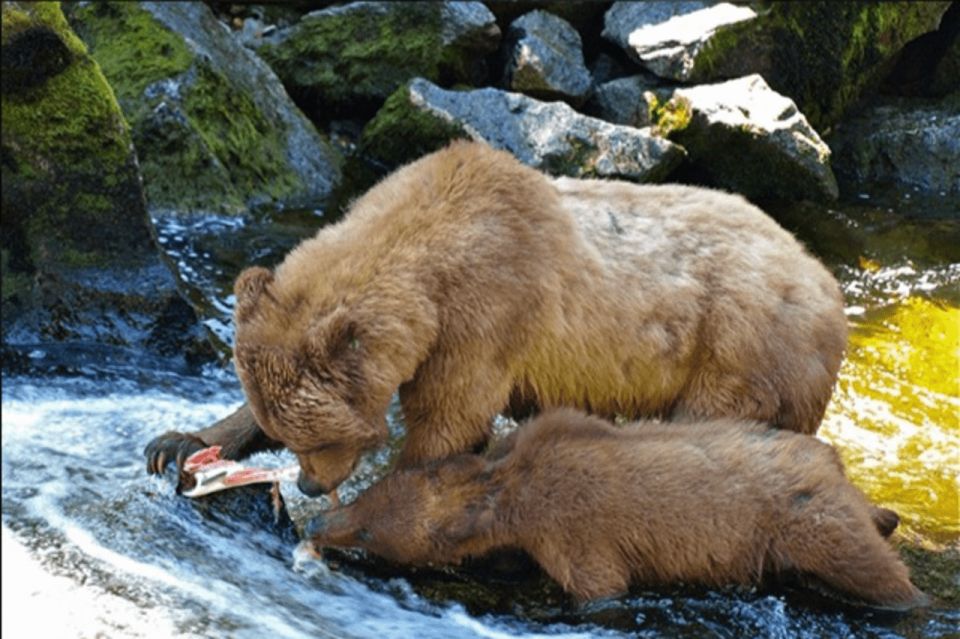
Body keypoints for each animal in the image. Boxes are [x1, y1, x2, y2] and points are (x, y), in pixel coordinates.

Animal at [146, 140, 847, 497]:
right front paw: (174, 443)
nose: (312, 486)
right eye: (286, 434)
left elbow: (449, 421)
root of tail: (827, 281)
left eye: (319, 440)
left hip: (739, 352)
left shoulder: (486, 317)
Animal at [304, 409, 925, 609]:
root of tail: (834, 468)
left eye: (366, 533)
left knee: (875, 569)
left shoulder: (576, 533)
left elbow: (600, 587)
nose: (317, 520)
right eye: (362, 496)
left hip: (809, 524)